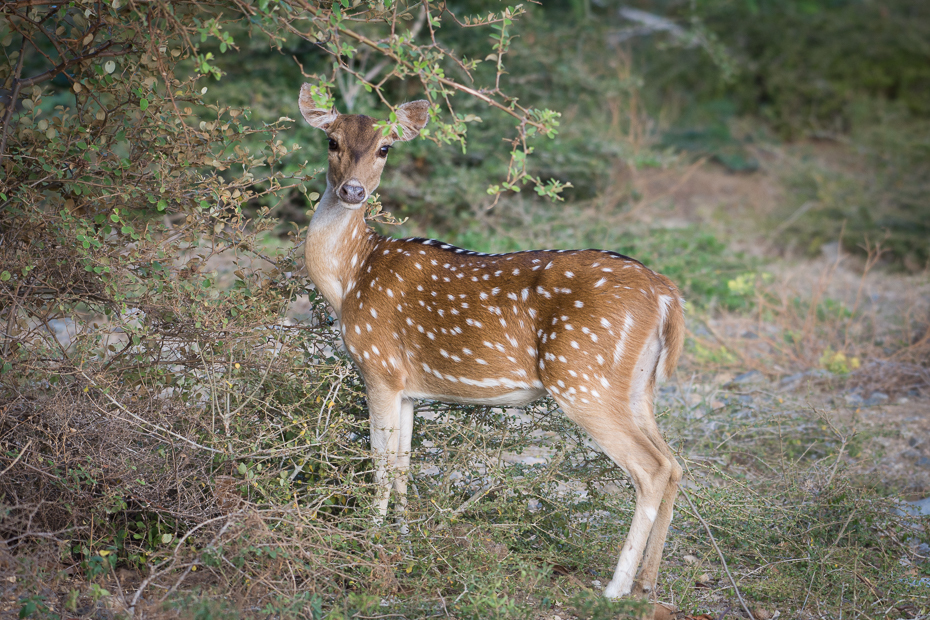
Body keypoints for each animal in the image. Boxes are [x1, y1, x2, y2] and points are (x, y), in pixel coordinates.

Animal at [300, 85, 684, 600]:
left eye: (385, 148)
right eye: (332, 142)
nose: (353, 191)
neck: (350, 278)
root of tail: (666, 294)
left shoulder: (377, 366)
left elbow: (380, 466)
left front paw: (368, 548)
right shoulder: (407, 388)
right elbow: (402, 467)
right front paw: (405, 543)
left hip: (582, 375)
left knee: (651, 468)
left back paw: (614, 588)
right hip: (638, 384)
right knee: (674, 463)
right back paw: (647, 583)